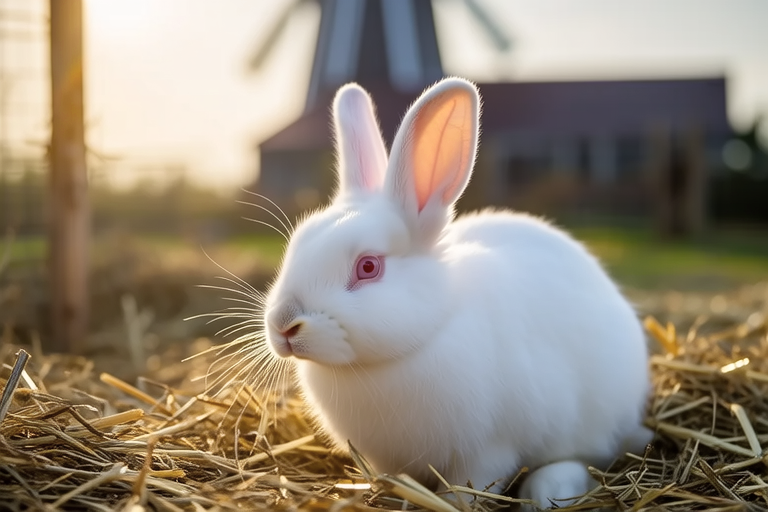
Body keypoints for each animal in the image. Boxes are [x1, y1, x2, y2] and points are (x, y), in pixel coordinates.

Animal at [263, 77, 652, 509]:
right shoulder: (382, 457)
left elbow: (471, 487)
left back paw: (548, 488)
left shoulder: (488, 451)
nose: (283, 325)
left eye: (368, 267)